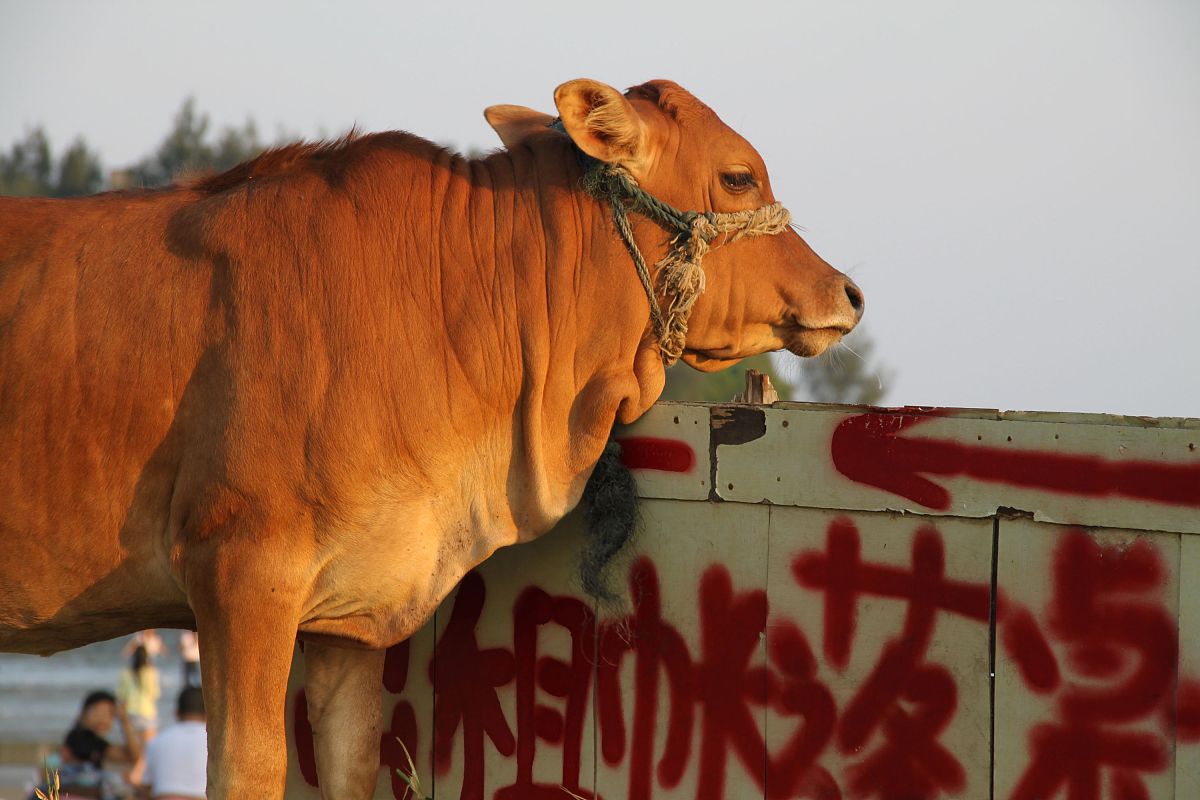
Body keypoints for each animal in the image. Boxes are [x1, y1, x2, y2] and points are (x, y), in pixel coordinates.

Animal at [0, 79, 864, 796]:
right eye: (740, 176)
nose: (847, 291)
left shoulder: (349, 610)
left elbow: (352, 764)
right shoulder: (239, 572)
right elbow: (249, 768)